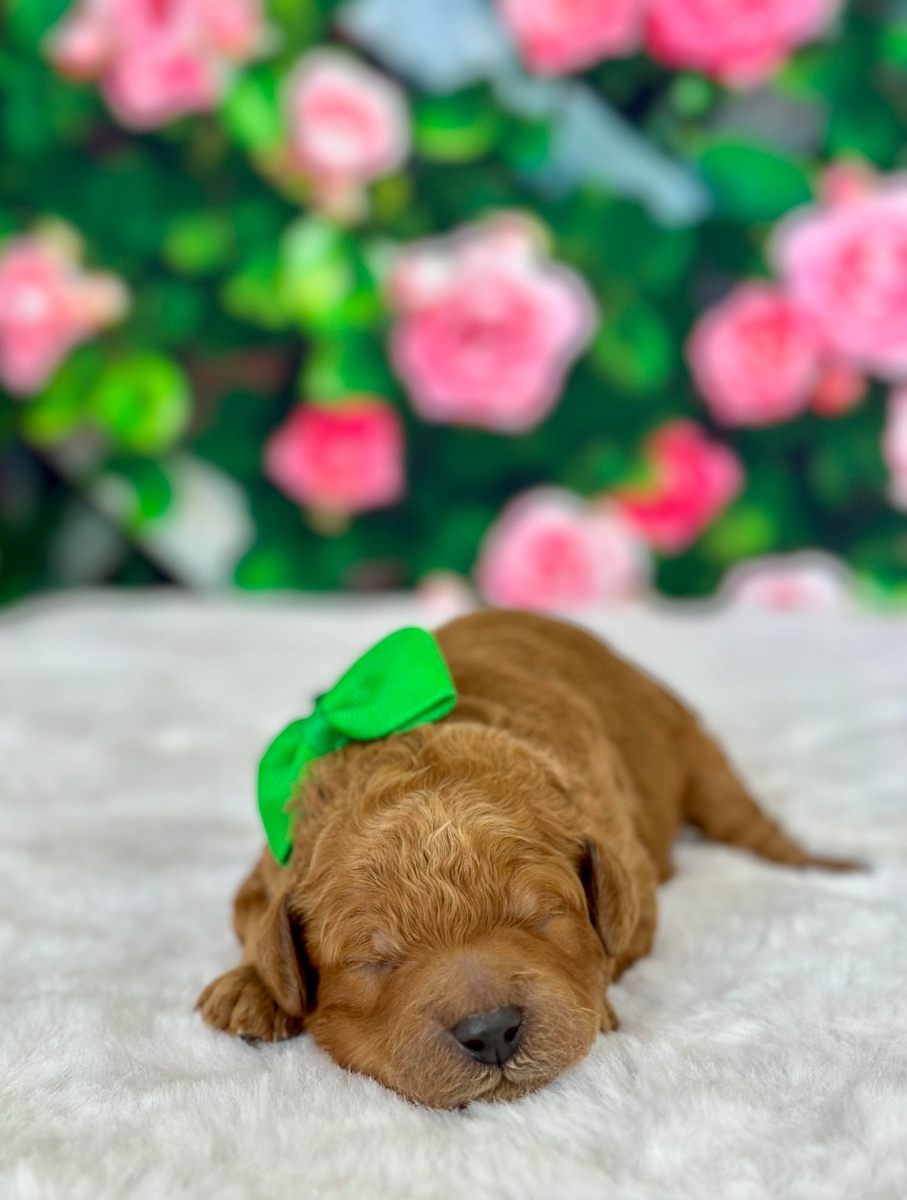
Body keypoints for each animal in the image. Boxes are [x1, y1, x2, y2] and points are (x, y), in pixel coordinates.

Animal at [198, 609, 851, 1108]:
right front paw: (249, 989)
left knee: (752, 824)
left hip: (694, 748)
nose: (491, 1032)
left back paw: (829, 866)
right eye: (373, 960)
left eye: (543, 916)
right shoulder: (265, 871)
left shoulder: (631, 872)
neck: (414, 747)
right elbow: (254, 921)